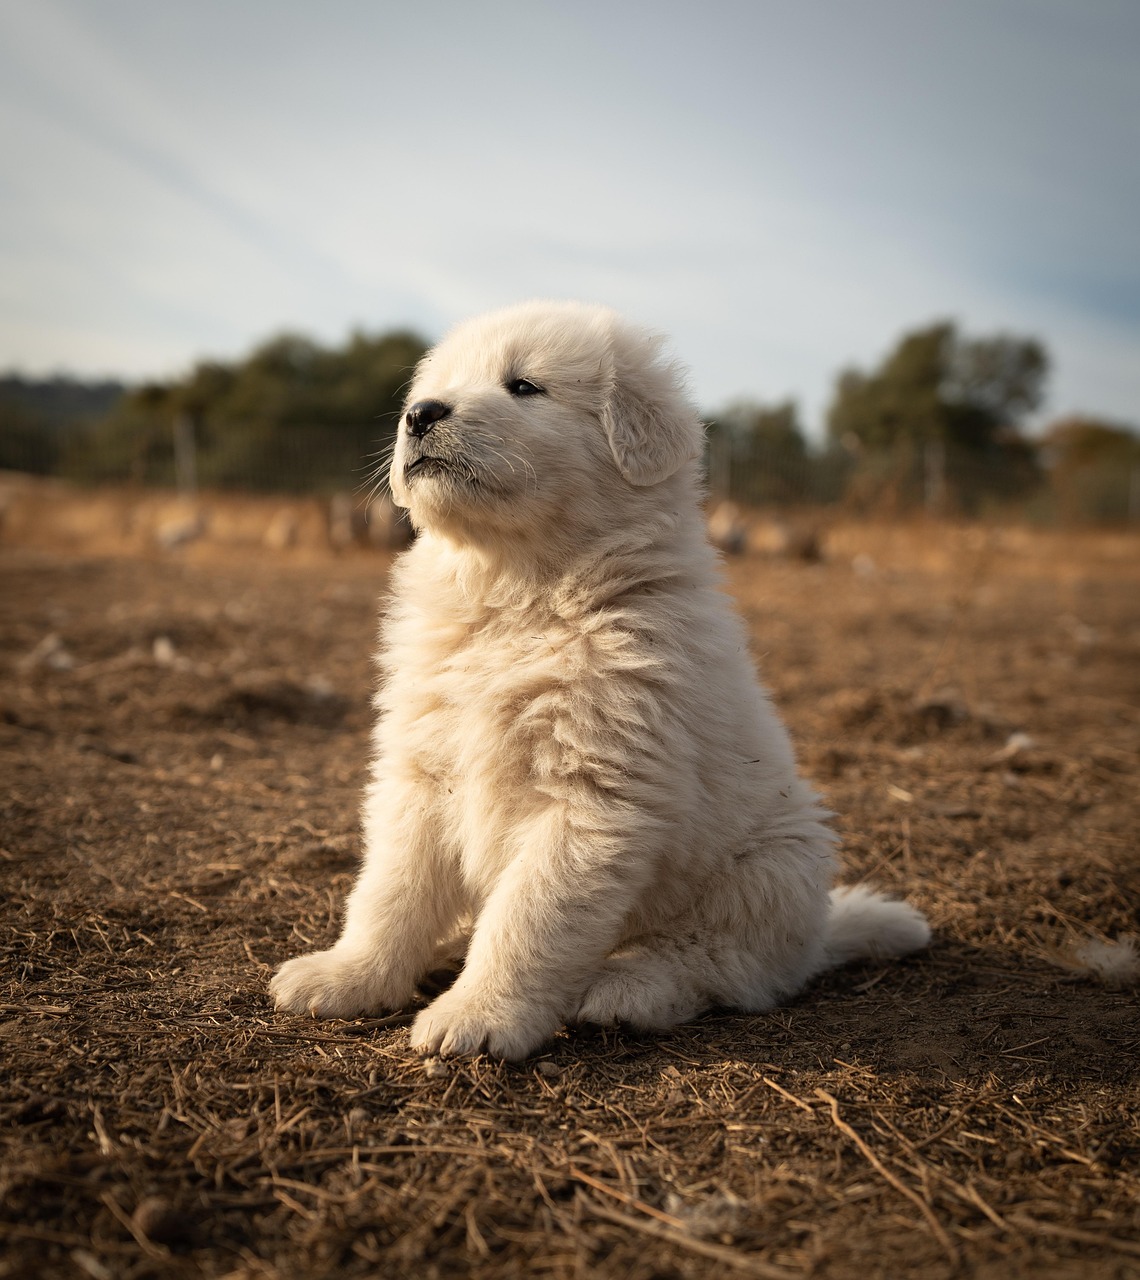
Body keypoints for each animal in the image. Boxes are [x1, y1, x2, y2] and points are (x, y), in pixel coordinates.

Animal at [272, 302, 931, 1059]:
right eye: (435, 388)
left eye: (524, 387)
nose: (420, 413)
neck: (519, 594)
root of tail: (818, 936)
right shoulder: (420, 771)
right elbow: (389, 890)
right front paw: (348, 976)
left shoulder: (593, 795)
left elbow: (528, 918)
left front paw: (479, 1016)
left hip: (772, 868)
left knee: (721, 965)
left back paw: (626, 988)